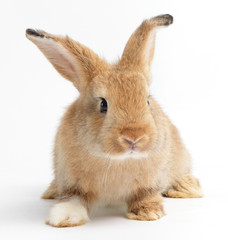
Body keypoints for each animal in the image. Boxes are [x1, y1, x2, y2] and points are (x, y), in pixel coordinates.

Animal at [25, 14, 202, 228]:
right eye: (103, 104)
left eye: (147, 100)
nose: (134, 138)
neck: (117, 161)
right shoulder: (73, 183)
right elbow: (73, 199)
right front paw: (63, 218)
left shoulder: (148, 183)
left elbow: (146, 195)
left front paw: (148, 213)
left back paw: (186, 188)